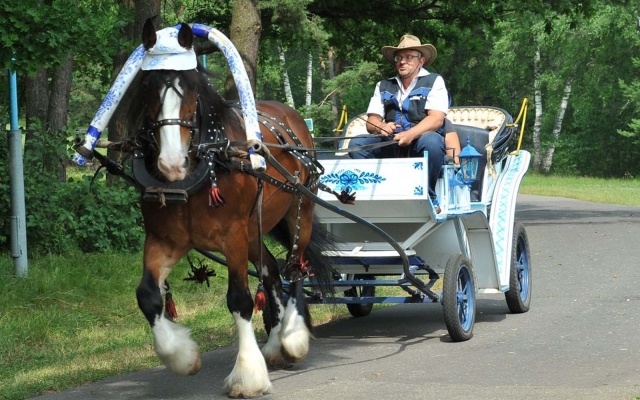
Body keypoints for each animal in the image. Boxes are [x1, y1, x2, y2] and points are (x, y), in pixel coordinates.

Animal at [127, 21, 332, 396]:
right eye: (146, 89)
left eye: (191, 91)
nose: (172, 163)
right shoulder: (164, 239)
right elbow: (148, 295)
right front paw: (181, 355)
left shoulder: (232, 235)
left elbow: (239, 299)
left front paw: (247, 374)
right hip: (254, 230)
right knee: (272, 272)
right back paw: (275, 342)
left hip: (300, 209)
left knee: (295, 266)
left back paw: (292, 337)